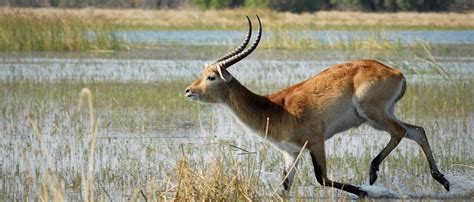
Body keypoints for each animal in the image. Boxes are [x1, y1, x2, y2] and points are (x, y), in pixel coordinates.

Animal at [183, 16, 450, 197]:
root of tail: (396, 72)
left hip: (372, 114)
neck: (273, 108)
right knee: (417, 130)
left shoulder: (315, 142)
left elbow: (322, 178)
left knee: (400, 132)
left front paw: (363, 192)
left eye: (211, 77)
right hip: (382, 115)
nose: (188, 90)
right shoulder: (290, 153)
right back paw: (442, 180)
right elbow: (284, 188)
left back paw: (373, 174)